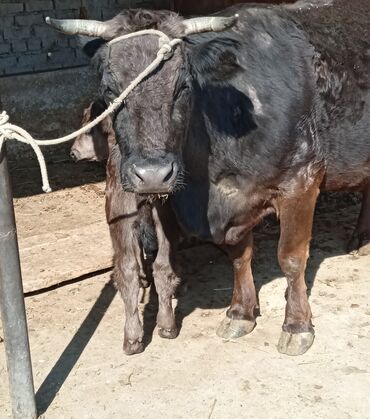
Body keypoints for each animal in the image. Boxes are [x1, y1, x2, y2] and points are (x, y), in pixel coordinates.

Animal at [47, 0, 370, 356]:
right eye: (109, 90)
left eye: (183, 86)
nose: (152, 175)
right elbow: (239, 256)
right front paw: (241, 313)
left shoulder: (301, 182)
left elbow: (291, 258)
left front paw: (297, 325)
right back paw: (360, 240)